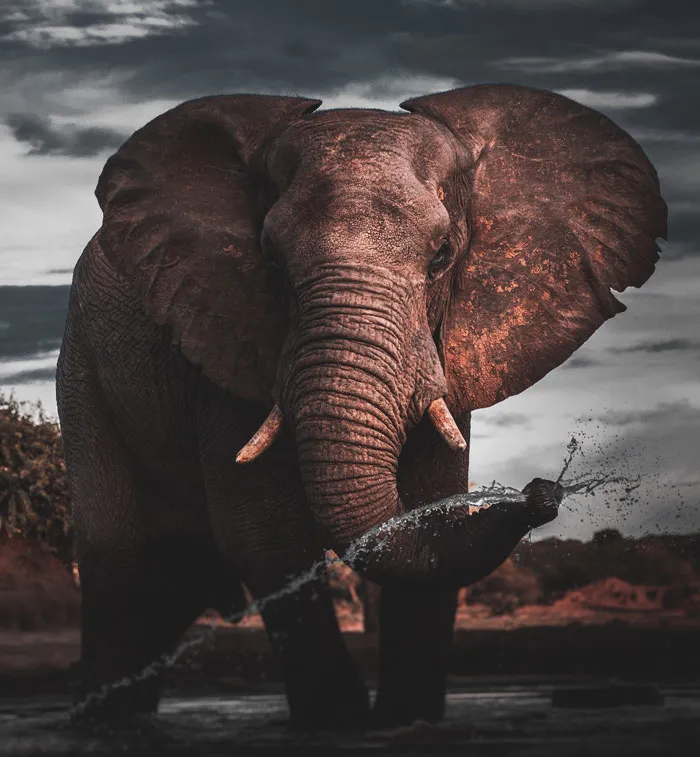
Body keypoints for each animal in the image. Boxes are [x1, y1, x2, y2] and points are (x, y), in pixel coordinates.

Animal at [56, 83, 666, 728]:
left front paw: (407, 721)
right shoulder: (222, 336)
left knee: (181, 577)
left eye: (443, 255)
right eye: (270, 260)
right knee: (118, 557)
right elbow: (265, 537)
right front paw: (339, 723)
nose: (542, 492)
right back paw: (103, 723)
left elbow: (429, 508)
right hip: (84, 367)